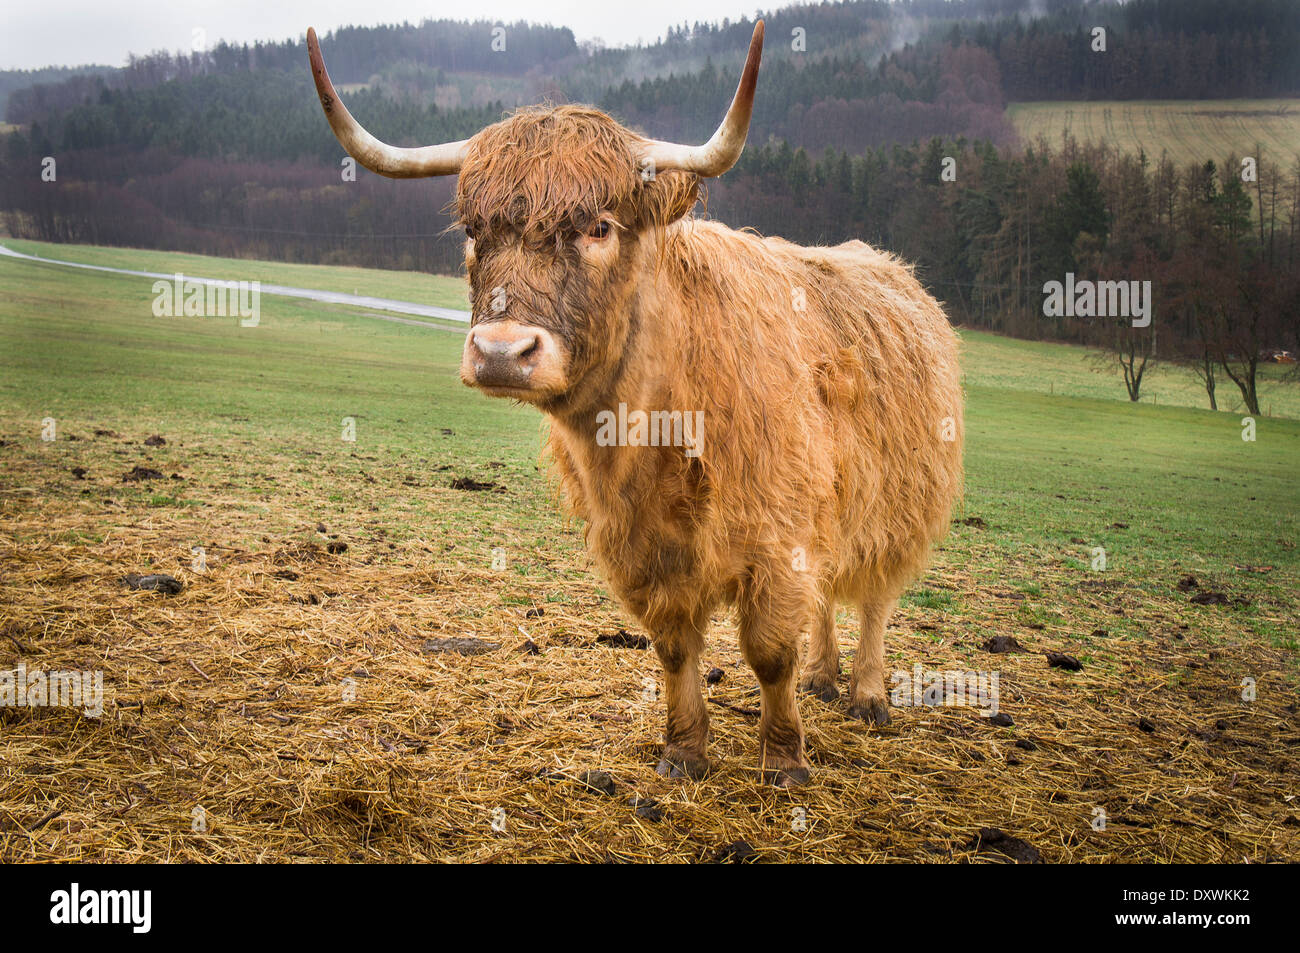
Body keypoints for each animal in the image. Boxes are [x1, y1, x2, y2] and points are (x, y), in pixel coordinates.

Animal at [308, 21, 964, 786]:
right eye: (474, 231)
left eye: (598, 225)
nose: (500, 352)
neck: (655, 425)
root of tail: (897, 270)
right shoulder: (644, 546)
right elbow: (675, 647)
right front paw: (684, 751)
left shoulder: (777, 533)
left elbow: (771, 650)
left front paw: (783, 760)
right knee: (831, 597)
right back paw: (826, 679)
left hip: (899, 505)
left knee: (877, 597)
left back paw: (864, 693)